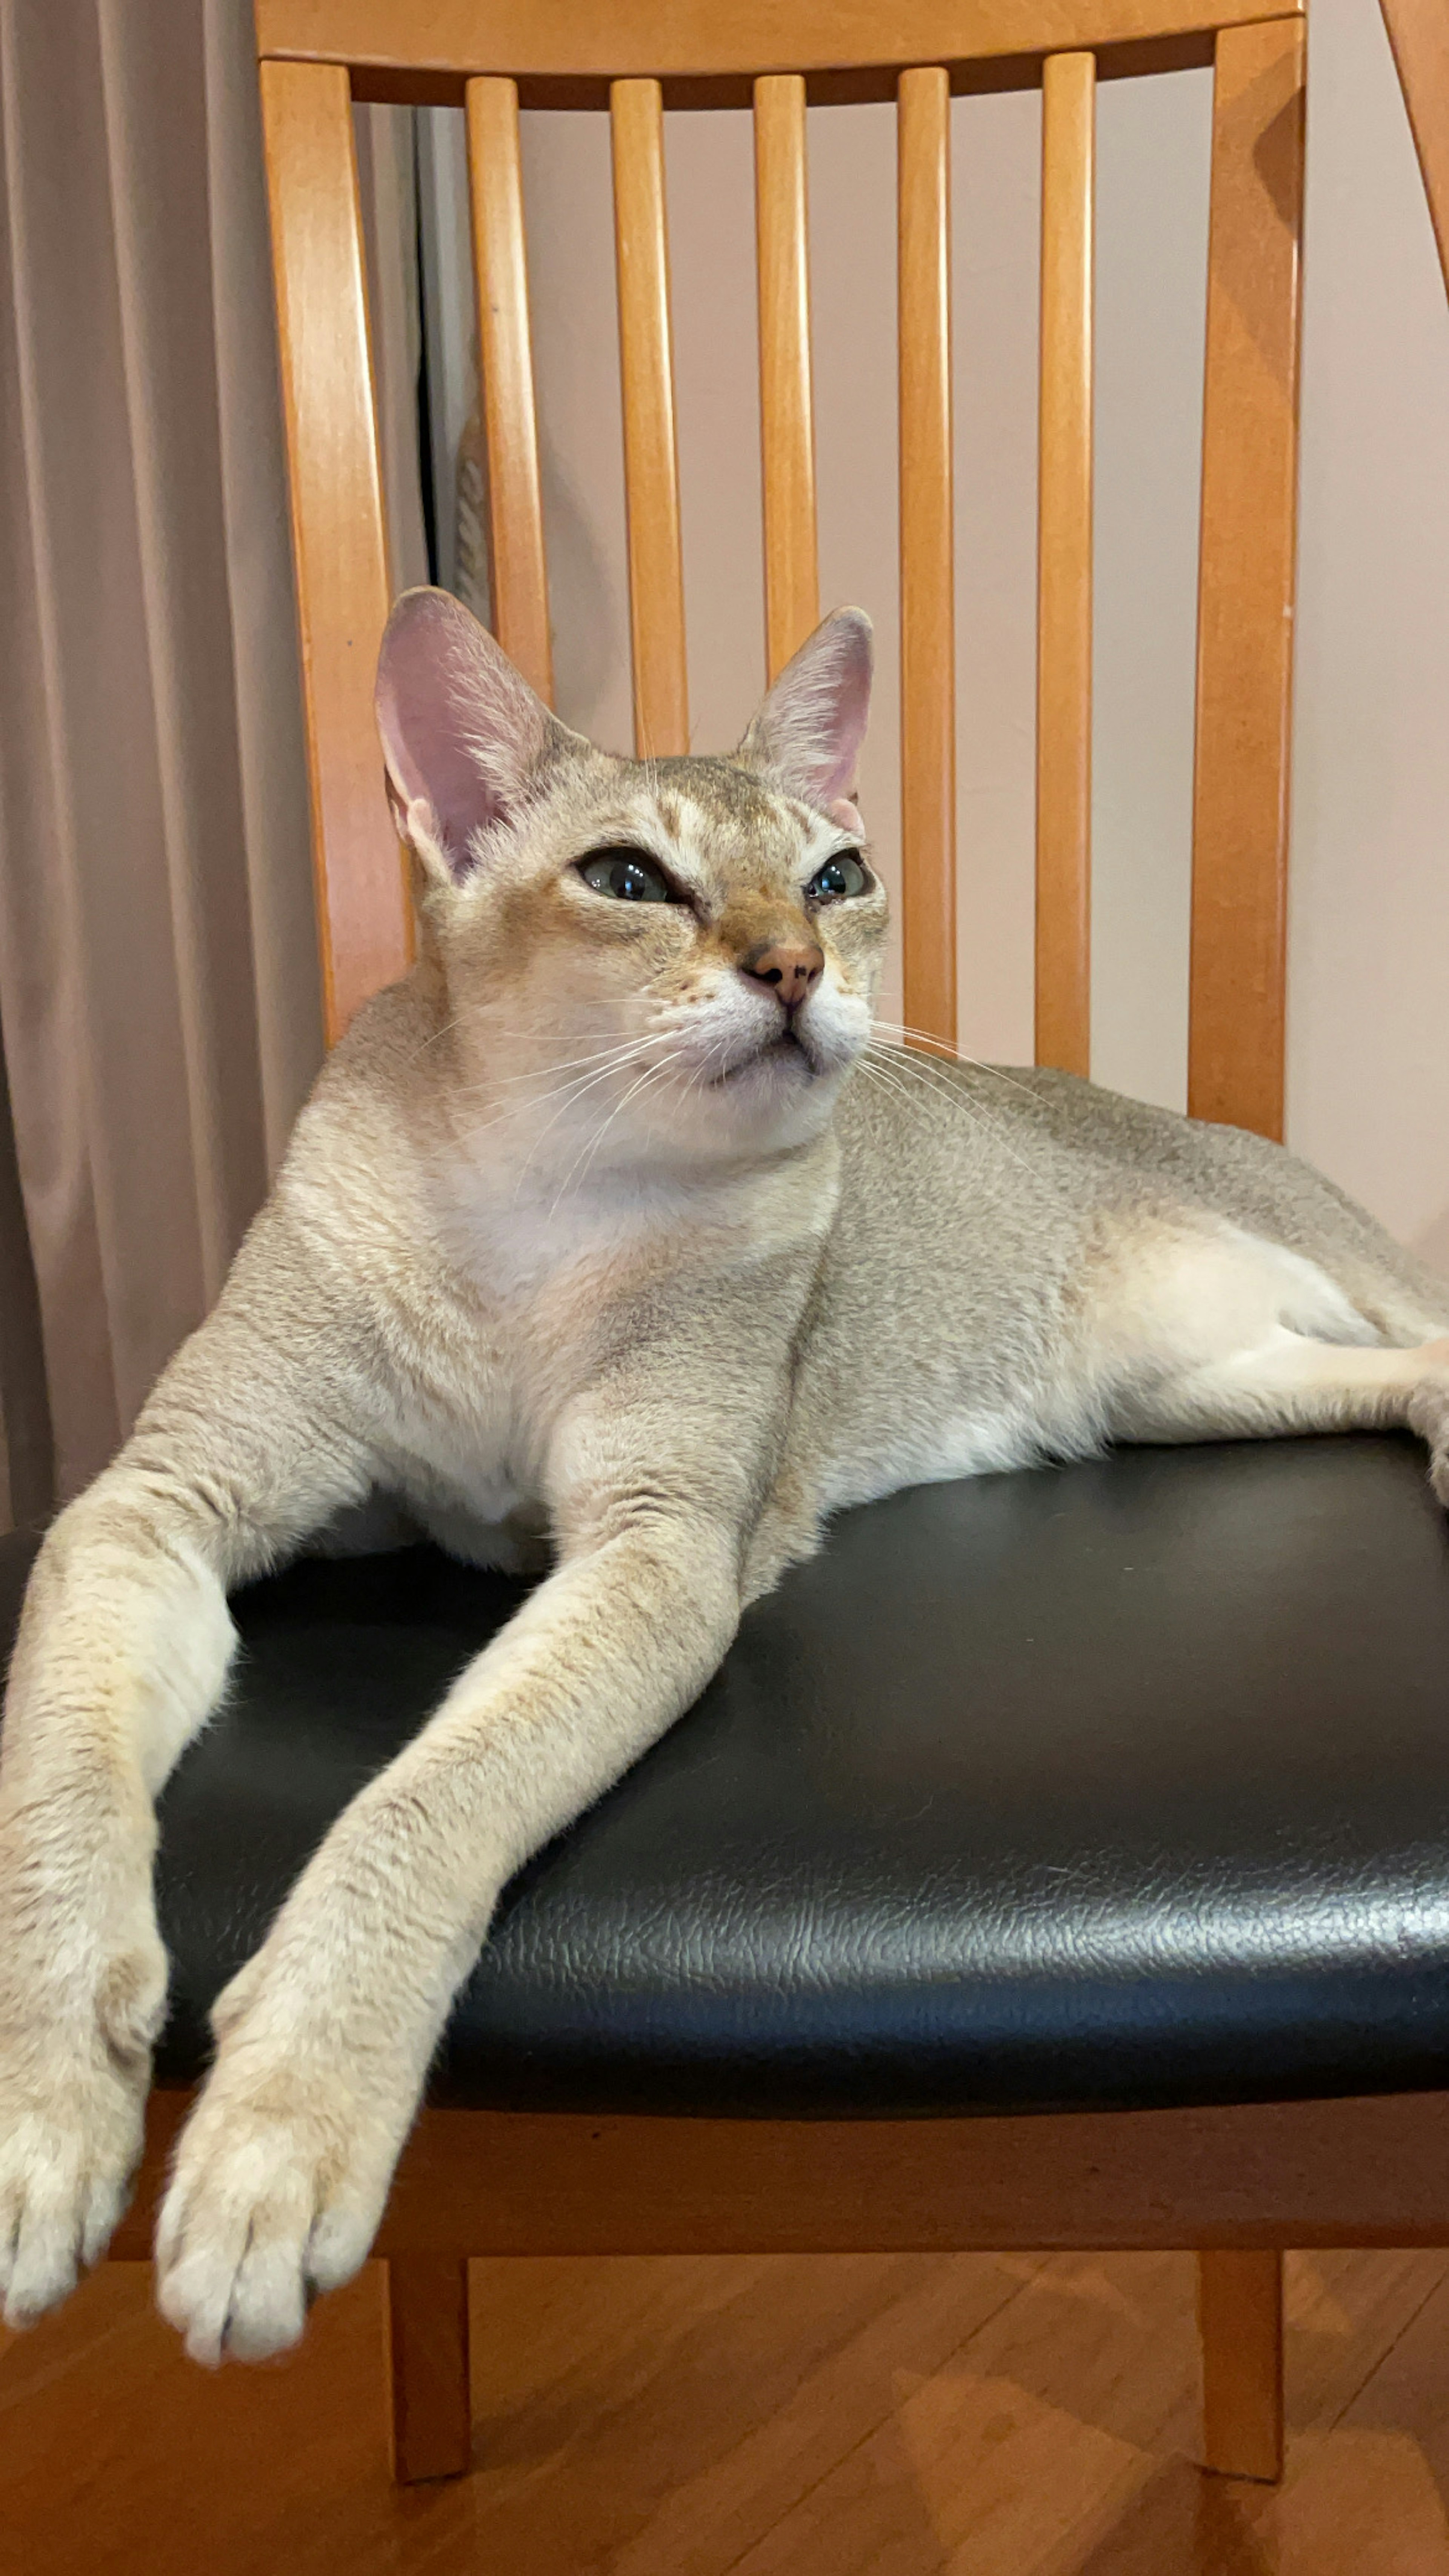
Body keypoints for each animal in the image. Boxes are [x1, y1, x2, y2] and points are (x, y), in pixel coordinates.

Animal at [3, 584, 1444, 2359]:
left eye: (835, 874)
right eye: (630, 878)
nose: (796, 967)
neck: (540, 1209)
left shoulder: (657, 1545)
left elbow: (430, 1798)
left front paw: (282, 2128)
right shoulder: (154, 1501)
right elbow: (56, 1791)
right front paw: (48, 2112)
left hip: (1324, 1283)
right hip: (1192, 1391)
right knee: (1407, 1378)